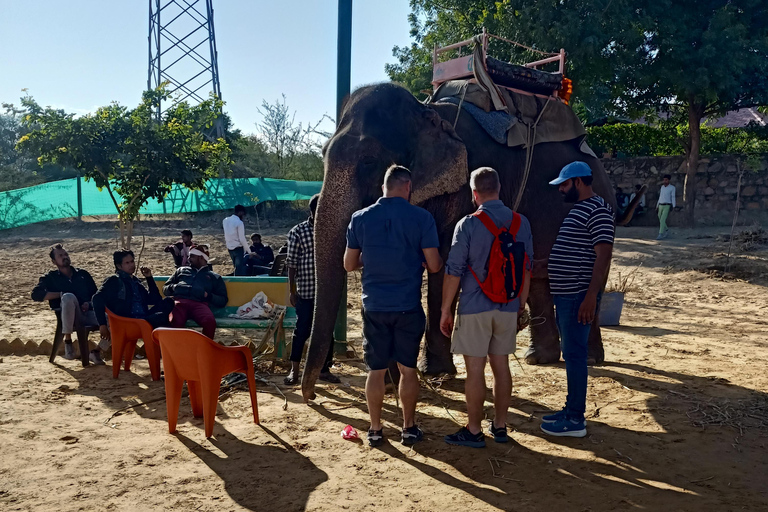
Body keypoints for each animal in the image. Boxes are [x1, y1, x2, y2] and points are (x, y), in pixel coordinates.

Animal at [300, 82, 640, 400]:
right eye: (322, 155)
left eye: (369, 160)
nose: (312, 394)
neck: (426, 112)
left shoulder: (462, 188)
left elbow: (444, 263)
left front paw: (434, 373)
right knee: (538, 277)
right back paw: (539, 358)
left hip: (602, 214)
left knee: (591, 279)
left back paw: (590, 359)